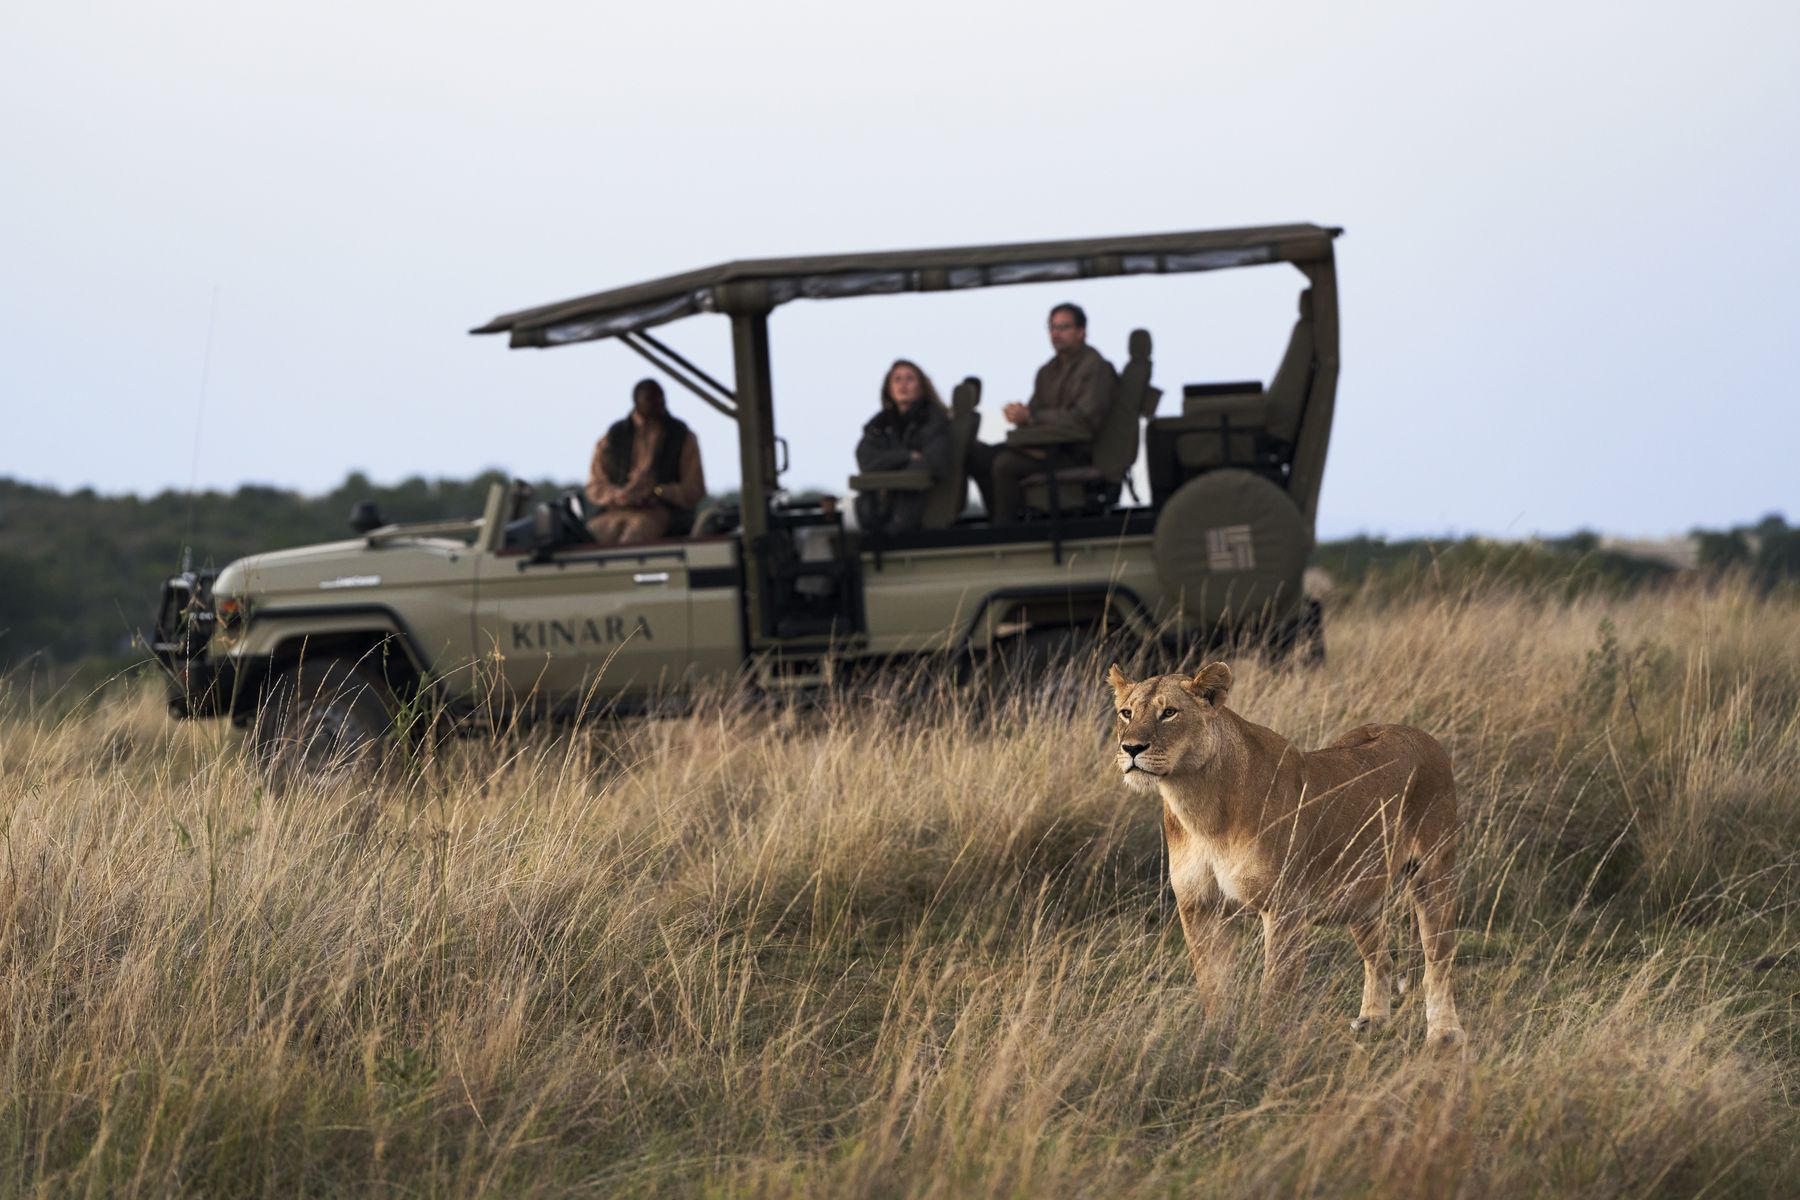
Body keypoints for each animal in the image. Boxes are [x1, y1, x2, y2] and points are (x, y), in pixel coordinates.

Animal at [1107, 660, 1465, 1049]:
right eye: (1126, 713)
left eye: (1169, 712)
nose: (1131, 748)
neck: (1199, 807)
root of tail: (1423, 736)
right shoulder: (1199, 906)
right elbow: (1213, 985)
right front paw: (1214, 1040)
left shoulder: (1284, 907)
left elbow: (1275, 989)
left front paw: (1265, 1045)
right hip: (1360, 891)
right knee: (1380, 960)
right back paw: (1372, 1021)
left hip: (1433, 873)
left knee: (1438, 960)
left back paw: (1444, 1033)